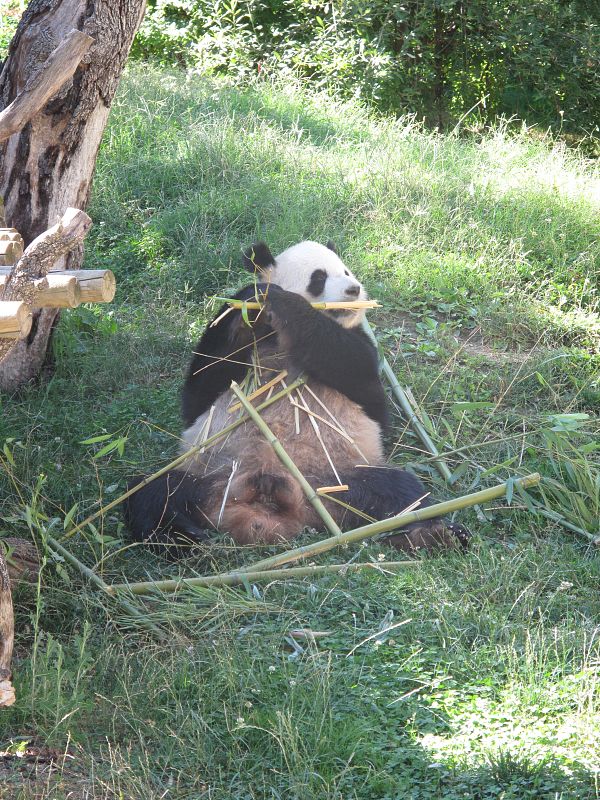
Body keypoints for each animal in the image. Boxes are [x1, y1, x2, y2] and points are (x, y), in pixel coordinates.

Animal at [124, 240, 470, 553]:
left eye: (345, 270)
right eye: (319, 278)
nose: (354, 289)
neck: (277, 340)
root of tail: (270, 501)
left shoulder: (363, 351)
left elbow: (355, 367)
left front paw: (286, 305)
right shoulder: (223, 348)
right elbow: (200, 388)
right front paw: (251, 312)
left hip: (337, 483)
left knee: (401, 491)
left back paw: (432, 533)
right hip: (212, 477)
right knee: (152, 493)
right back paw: (183, 538)